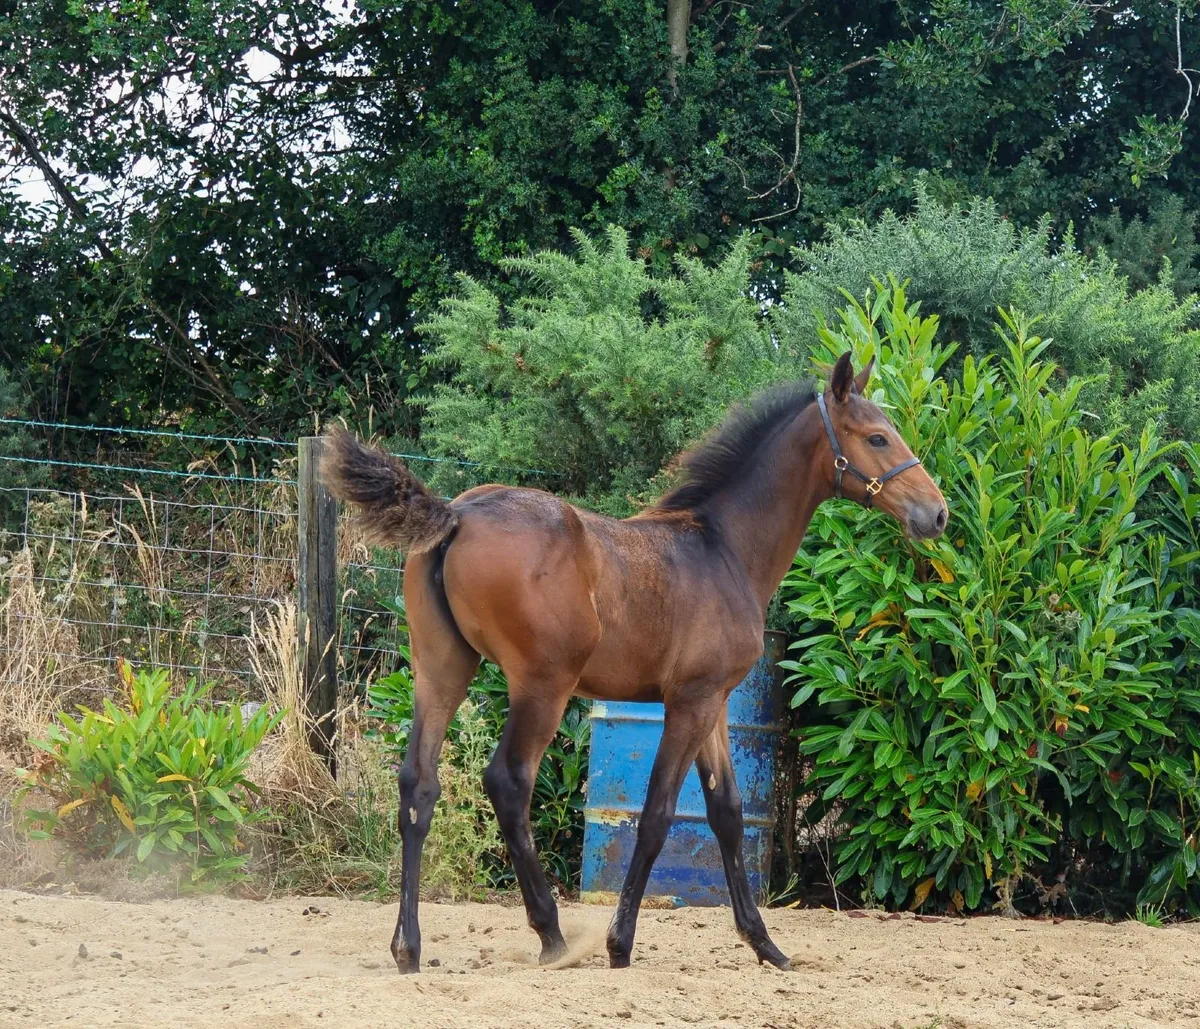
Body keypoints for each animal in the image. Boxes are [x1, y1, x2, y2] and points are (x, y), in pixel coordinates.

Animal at [323, 351, 948, 974]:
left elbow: (728, 812)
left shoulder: (717, 703)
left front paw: (765, 944)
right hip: (543, 685)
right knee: (508, 782)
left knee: (418, 785)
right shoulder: (690, 702)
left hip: (442, 668)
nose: (937, 514)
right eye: (877, 436)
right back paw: (552, 935)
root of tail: (457, 514)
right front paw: (619, 944)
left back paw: (408, 948)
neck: (723, 549)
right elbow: (656, 816)